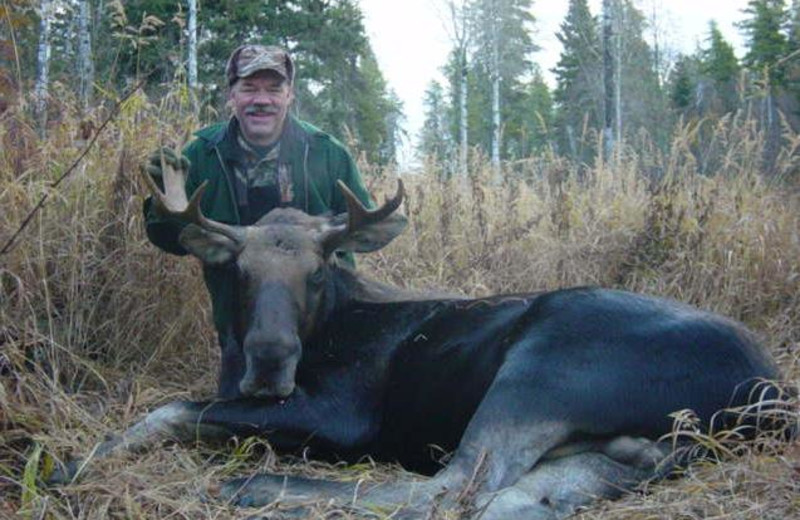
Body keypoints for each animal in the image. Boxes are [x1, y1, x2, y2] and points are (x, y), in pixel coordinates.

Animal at [51, 155, 788, 520]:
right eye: (238, 269)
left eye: (318, 271)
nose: (270, 362)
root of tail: (773, 398)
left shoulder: (344, 414)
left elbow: (173, 407)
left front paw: (74, 464)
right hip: (618, 439)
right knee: (519, 495)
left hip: (546, 366)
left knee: (454, 488)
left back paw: (258, 487)